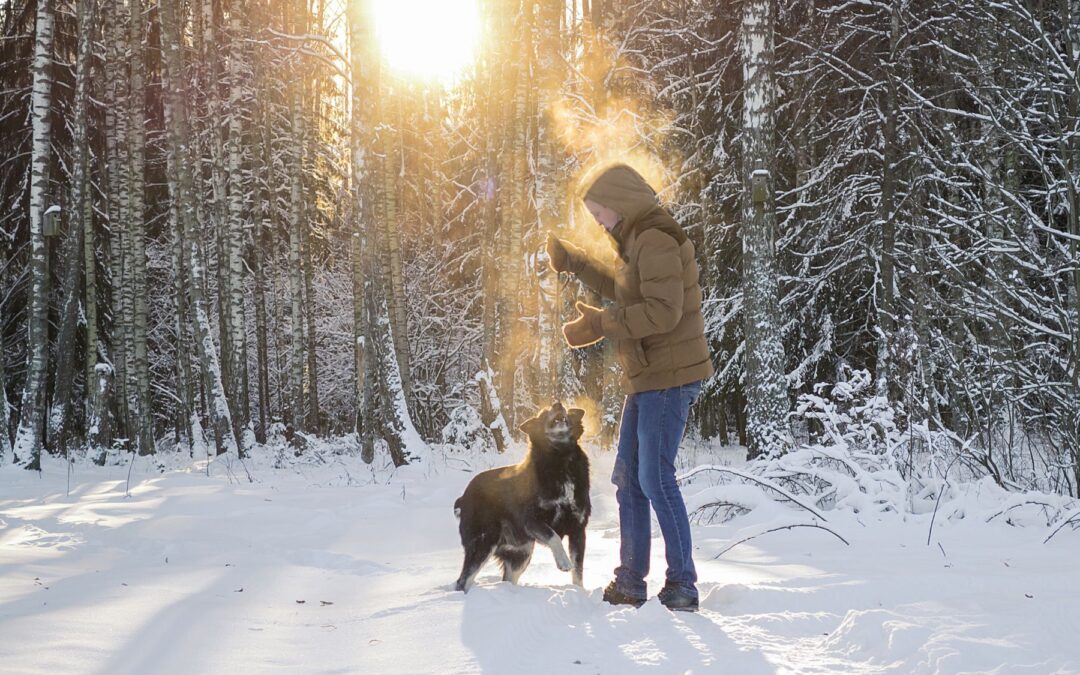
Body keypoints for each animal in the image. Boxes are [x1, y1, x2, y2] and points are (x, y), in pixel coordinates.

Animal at [453, 399, 596, 587]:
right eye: (543, 413)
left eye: (565, 408)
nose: (558, 403)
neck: (560, 459)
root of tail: (464, 497)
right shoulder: (532, 520)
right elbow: (554, 537)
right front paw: (564, 562)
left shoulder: (578, 529)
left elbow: (578, 571)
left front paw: (579, 591)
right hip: (484, 541)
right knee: (463, 581)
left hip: (521, 553)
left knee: (507, 578)